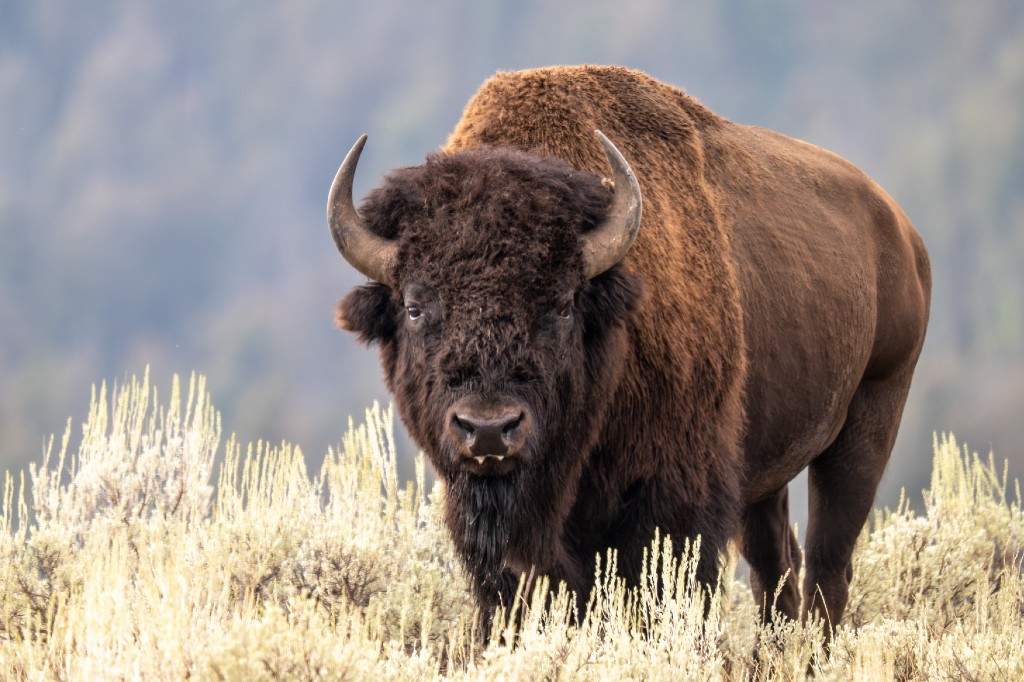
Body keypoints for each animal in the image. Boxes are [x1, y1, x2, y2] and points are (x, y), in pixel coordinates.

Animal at [329, 66, 931, 633]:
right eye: (414, 307)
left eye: (563, 305)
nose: (489, 430)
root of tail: (902, 232)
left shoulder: (674, 500)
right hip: (767, 470)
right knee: (775, 567)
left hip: (870, 419)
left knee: (829, 567)